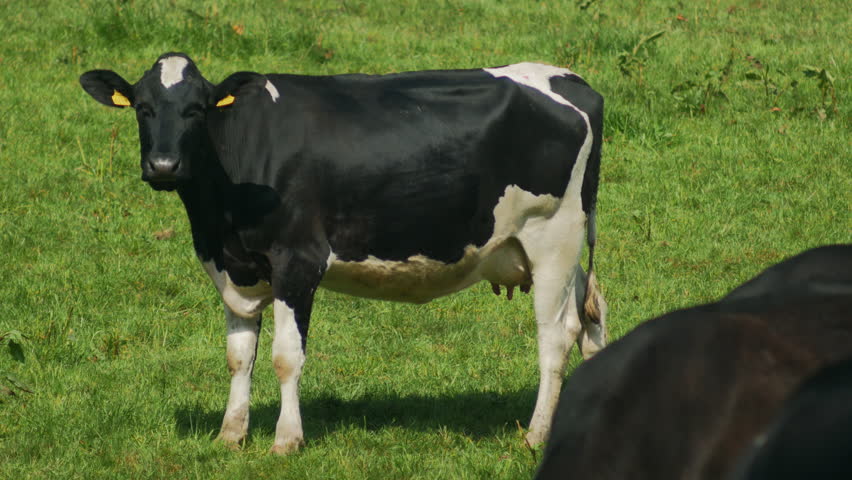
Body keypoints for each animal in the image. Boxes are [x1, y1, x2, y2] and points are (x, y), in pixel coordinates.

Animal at [79, 53, 607, 454]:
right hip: (553, 247)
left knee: (556, 334)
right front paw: (230, 436)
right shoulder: (236, 268)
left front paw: (286, 441)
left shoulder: (297, 260)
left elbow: (285, 357)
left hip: (552, 236)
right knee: (592, 314)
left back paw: (536, 436)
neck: (219, 221)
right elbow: (238, 356)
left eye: (197, 110)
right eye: (143, 108)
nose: (163, 165)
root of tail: (571, 80)